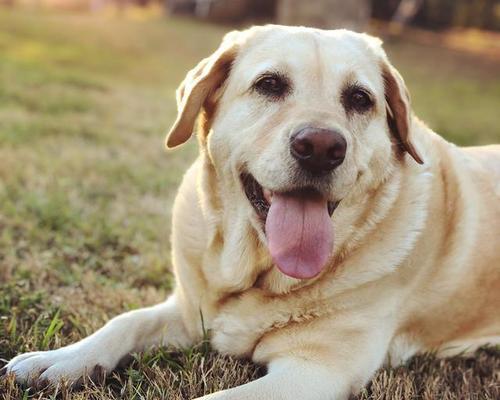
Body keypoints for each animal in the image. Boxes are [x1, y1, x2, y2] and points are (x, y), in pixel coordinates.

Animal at [4, 25, 500, 400]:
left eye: (360, 99)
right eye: (270, 84)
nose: (321, 147)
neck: (256, 275)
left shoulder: (314, 371)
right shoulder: (191, 312)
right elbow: (125, 321)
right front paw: (61, 360)